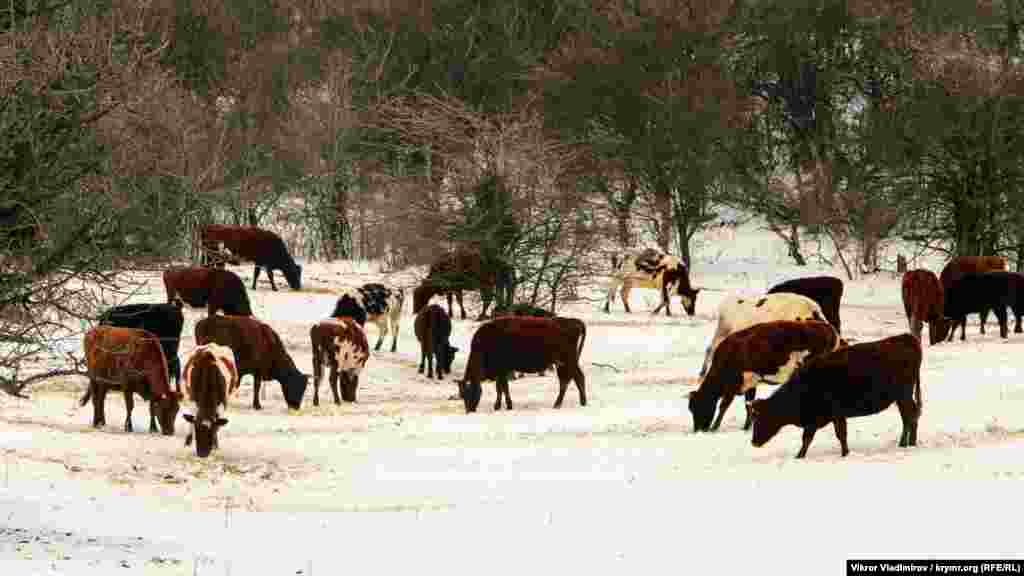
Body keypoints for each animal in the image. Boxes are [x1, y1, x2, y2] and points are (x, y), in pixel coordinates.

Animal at [456, 313, 585, 412]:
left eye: (470, 391)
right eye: (462, 395)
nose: (469, 410)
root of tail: (572, 321)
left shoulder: (502, 370)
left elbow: (503, 387)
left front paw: (505, 406)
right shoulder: (501, 372)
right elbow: (500, 388)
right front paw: (499, 405)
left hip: (568, 361)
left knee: (576, 378)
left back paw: (572, 403)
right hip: (562, 363)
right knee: (567, 381)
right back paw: (567, 403)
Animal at [688, 317, 839, 430]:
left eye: (698, 407)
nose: (698, 430)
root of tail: (828, 329)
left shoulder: (733, 385)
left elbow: (724, 405)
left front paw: (714, 427)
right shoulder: (750, 383)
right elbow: (748, 404)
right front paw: (746, 427)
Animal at [749, 332, 925, 457]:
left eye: (762, 417)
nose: (753, 442)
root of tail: (906, 338)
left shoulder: (833, 415)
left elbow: (835, 435)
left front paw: (843, 453)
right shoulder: (822, 419)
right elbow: (812, 438)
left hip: (903, 396)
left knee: (909, 417)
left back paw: (903, 443)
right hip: (902, 398)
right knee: (912, 416)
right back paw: (911, 443)